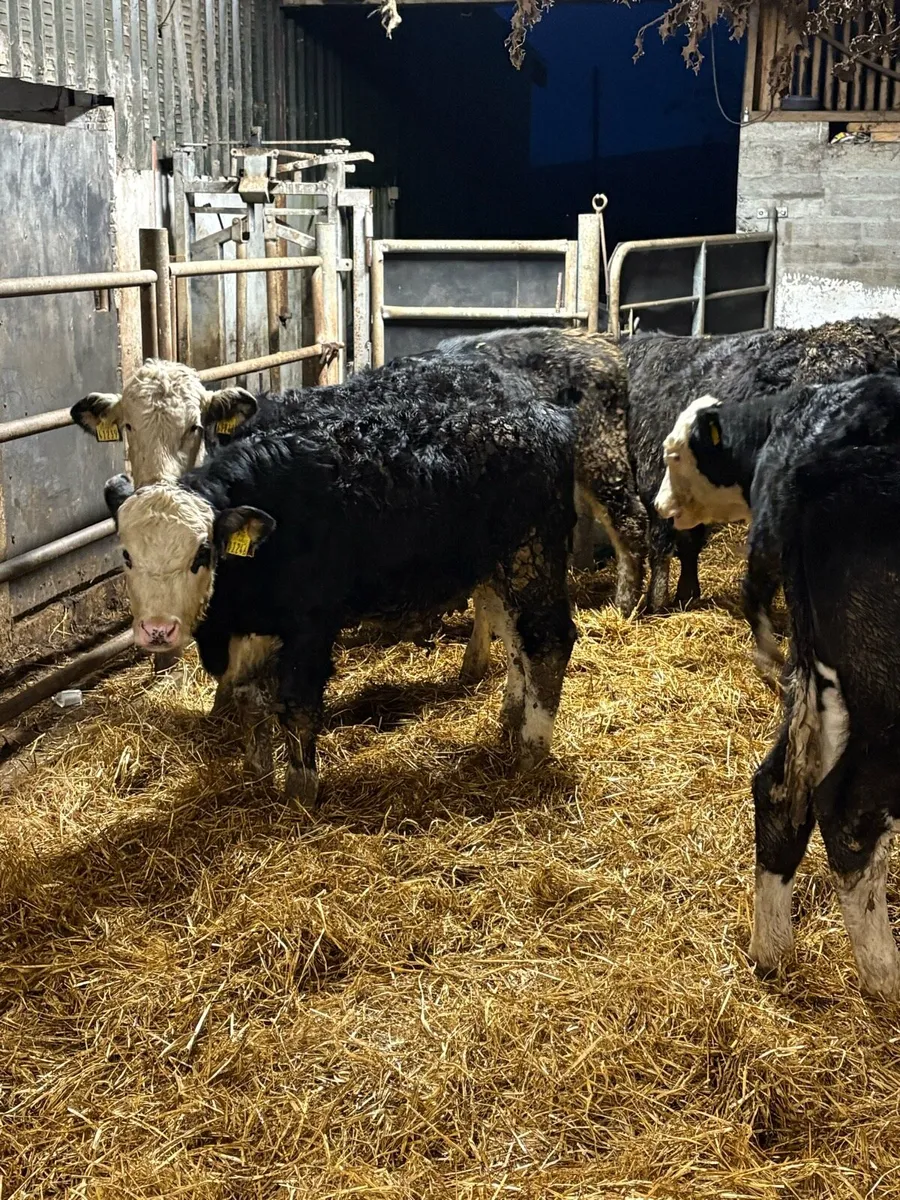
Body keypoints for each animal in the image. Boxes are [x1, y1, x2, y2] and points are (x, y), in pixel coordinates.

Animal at [103, 352, 580, 806]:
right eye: (126, 555)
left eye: (201, 553)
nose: (158, 631)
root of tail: (544, 415)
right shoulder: (256, 625)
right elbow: (249, 699)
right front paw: (257, 776)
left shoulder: (310, 623)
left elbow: (297, 706)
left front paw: (300, 793)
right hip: (498, 565)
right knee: (516, 637)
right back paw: (509, 720)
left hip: (532, 554)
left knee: (548, 640)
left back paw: (530, 754)